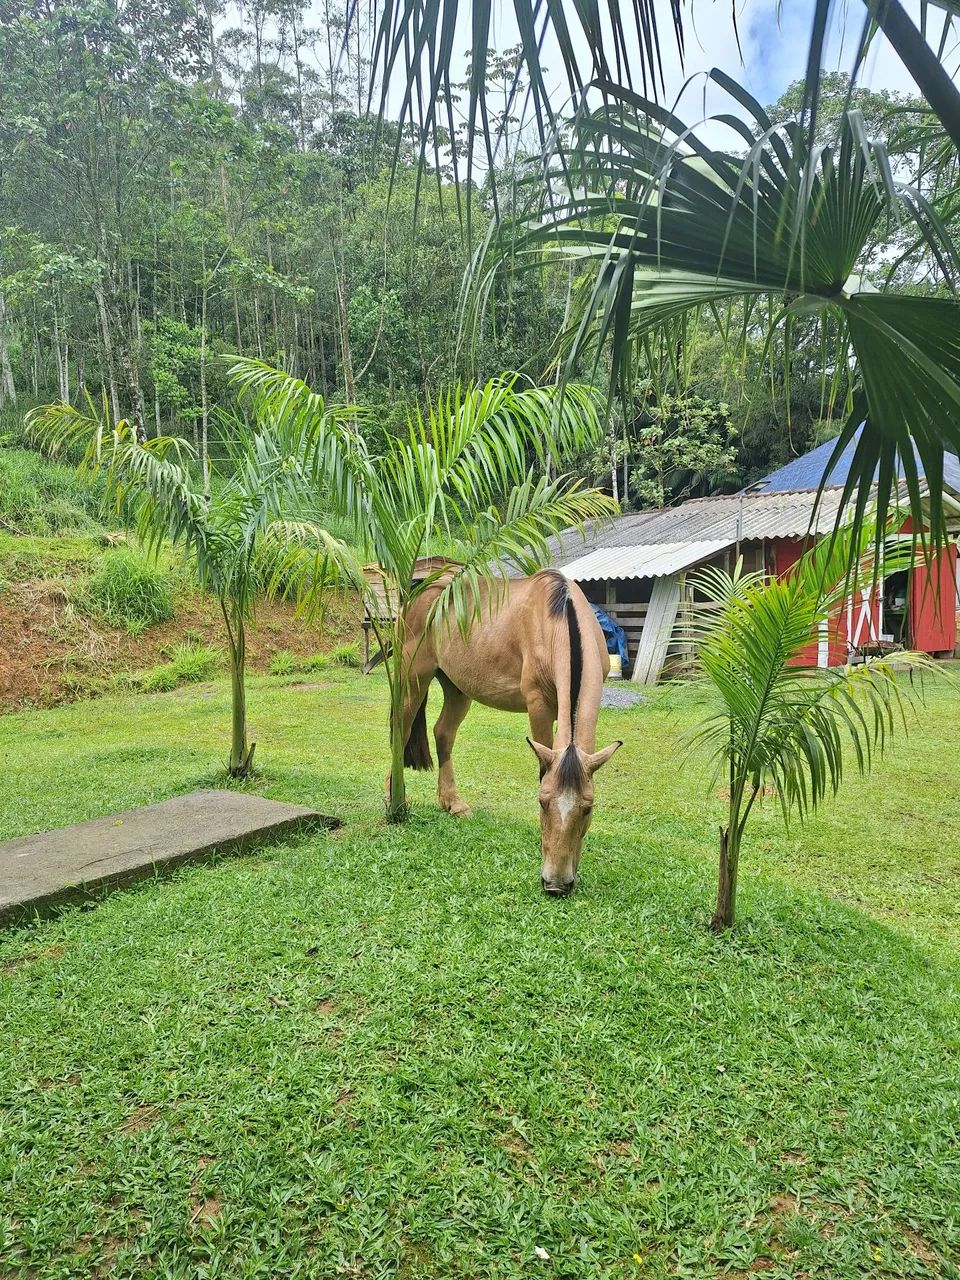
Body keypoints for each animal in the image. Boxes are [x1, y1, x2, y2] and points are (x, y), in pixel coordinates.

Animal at [392, 567, 622, 895]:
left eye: (588, 808)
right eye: (542, 802)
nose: (556, 884)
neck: (557, 622)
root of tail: (420, 591)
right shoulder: (538, 706)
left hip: (458, 688)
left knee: (443, 734)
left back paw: (453, 803)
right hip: (413, 679)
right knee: (400, 730)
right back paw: (394, 801)